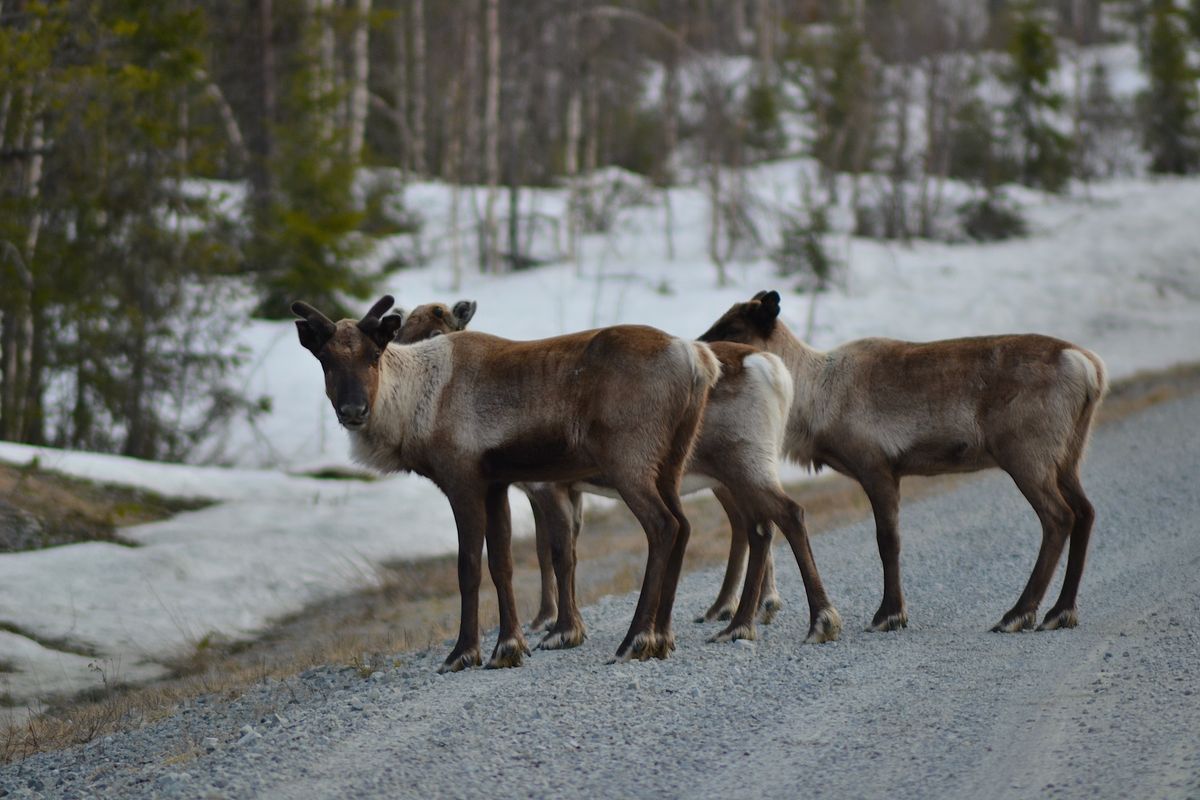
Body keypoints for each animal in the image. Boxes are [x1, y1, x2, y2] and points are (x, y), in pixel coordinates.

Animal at [293, 295, 720, 672]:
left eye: (374, 355)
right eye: (326, 360)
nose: (353, 410)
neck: (414, 406)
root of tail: (697, 358)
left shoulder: (463, 480)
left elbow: (469, 567)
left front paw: (463, 653)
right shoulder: (496, 484)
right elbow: (503, 563)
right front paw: (508, 648)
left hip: (629, 461)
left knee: (663, 526)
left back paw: (635, 640)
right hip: (671, 462)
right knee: (684, 526)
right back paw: (662, 638)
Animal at [396, 300, 842, 648]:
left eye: (435, 333)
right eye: (400, 333)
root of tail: (770, 366)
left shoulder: (547, 486)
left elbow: (556, 552)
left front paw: (558, 629)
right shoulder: (559, 490)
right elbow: (558, 549)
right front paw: (556, 623)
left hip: (739, 464)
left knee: (779, 517)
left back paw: (788, 618)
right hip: (730, 474)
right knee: (755, 527)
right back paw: (738, 617)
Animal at [699, 290, 1108, 635]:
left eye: (733, 328)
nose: (700, 350)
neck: (816, 400)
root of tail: (1090, 367)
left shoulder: (876, 466)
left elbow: (887, 540)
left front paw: (889, 613)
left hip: (1027, 454)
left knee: (1059, 517)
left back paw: (1018, 614)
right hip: (1068, 456)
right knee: (1085, 511)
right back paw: (1061, 611)